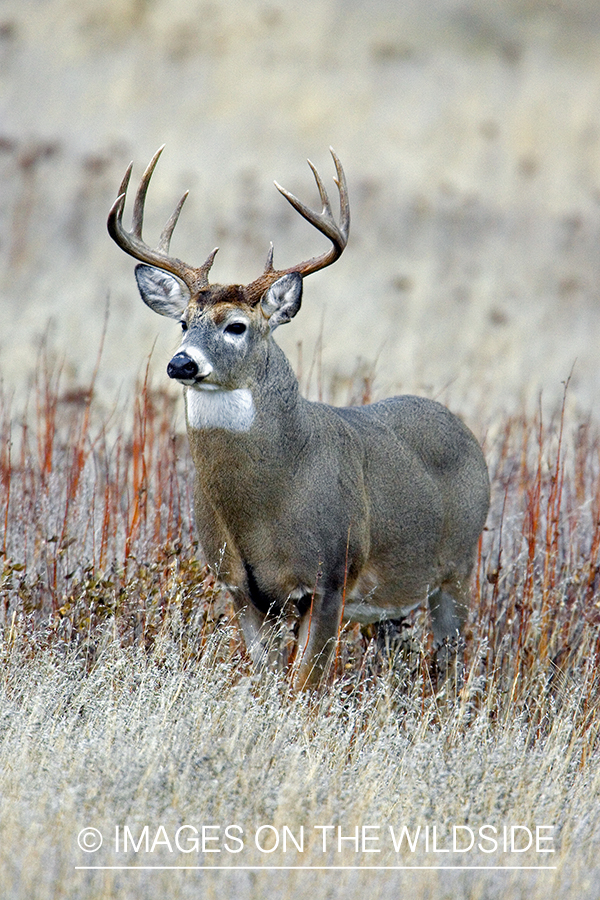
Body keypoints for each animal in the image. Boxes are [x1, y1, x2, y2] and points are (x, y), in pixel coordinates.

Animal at [110, 148, 490, 688]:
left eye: (237, 326)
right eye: (183, 322)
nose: (181, 363)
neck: (266, 505)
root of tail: (464, 430)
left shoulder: (331, 575)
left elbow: (305, 685)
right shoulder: (241, 588)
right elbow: (269, 683)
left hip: (459, 565)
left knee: (452, 654)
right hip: (392, 598)